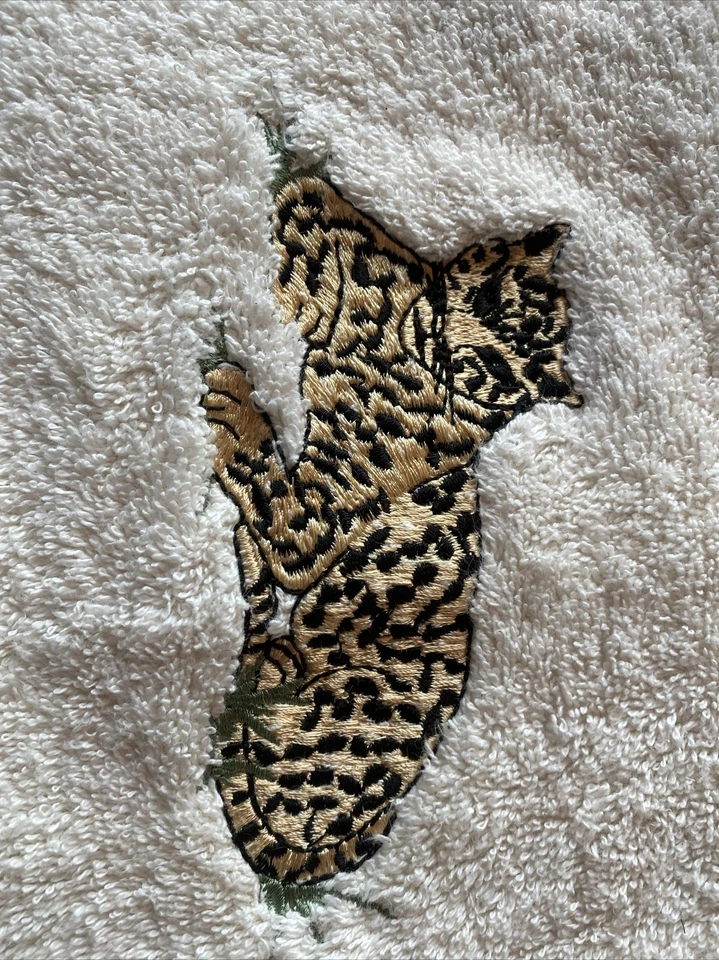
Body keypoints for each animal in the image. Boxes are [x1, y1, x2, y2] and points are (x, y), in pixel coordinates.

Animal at [201, 171, 582, 887]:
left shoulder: (311, 523)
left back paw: (264, 668)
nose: (459, 343)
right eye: (491, 299)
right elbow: (343, 256)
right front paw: (309, 196)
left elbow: (266, 482)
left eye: (497, 371)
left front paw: (237, 403)